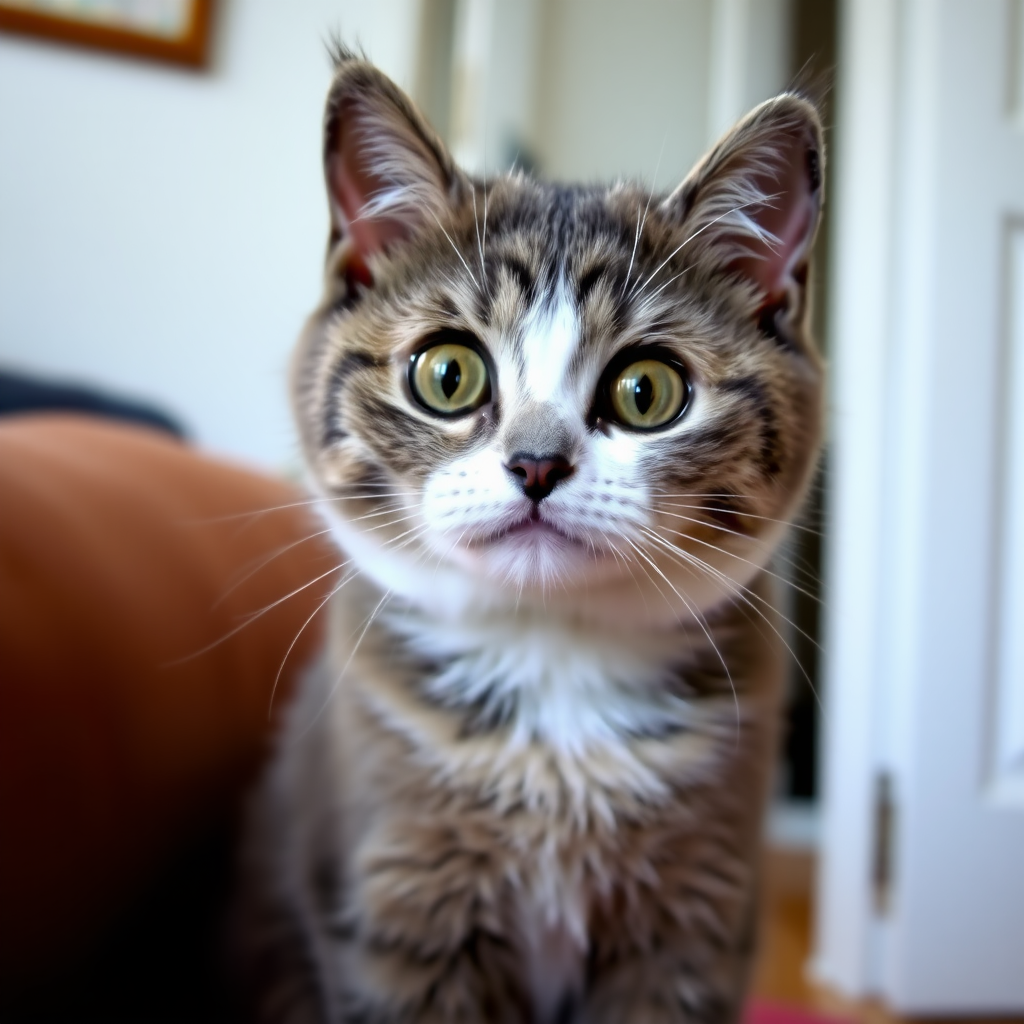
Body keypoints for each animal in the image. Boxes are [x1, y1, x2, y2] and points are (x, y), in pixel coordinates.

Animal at [237, 46, 823, 1024]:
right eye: (447, 374)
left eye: (647, 392)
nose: (538, 463)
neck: (552, 660)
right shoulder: (398, 904)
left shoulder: (694, 916)